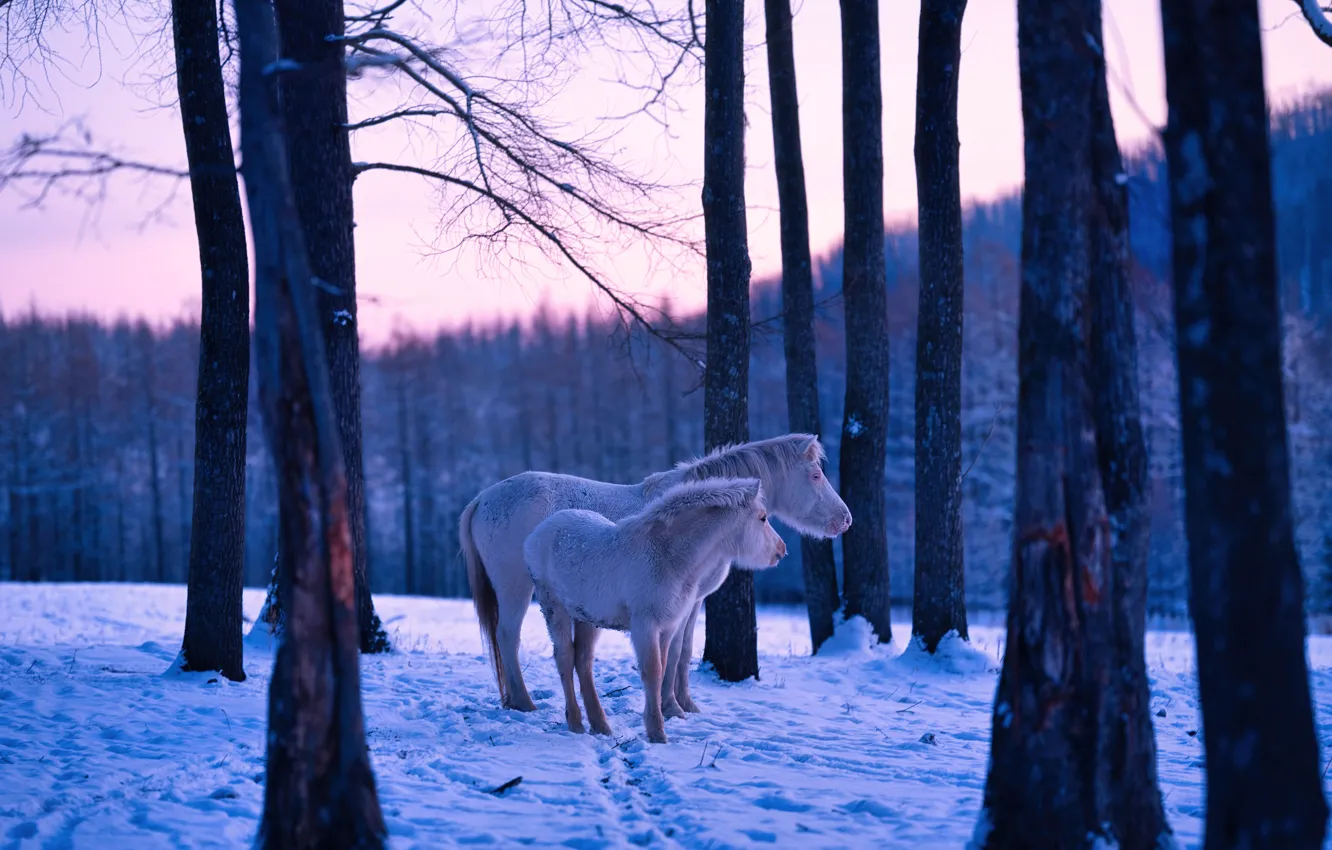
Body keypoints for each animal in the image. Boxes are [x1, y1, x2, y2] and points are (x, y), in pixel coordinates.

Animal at [460, 433, 852, 714]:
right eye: (816, 475)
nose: (846, 520)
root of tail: (482, 499)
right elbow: (673, 650)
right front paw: (670, 706)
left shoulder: (693, 601)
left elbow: (684, 649)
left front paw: (685, 704)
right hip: (516, 587)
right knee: (507, 636)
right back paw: (524, 702)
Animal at [524, 478, 787, 743]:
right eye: (763, 518)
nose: (781, 549)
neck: (668, 556)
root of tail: (539, 532)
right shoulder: (645, 626)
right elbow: (652, 671)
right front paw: (657, 733)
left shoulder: (668, 626)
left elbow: (663, 668)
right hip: (554, 608)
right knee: (565, 658)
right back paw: (576, 723)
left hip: (586, 618)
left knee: (584, 662)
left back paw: (601, 725)